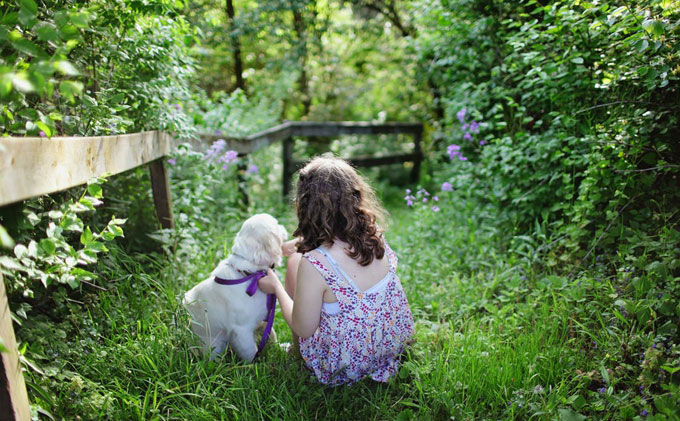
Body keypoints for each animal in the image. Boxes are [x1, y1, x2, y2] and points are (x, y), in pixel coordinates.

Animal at [182, 213, 286, 360]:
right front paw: (257, 364)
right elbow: (251, 352)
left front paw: (281, 348)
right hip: (214, 345)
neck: (250, 275)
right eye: (276, 224)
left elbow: (272, 334)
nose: (284, 226)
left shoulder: (264, 318)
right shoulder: (241, 330)